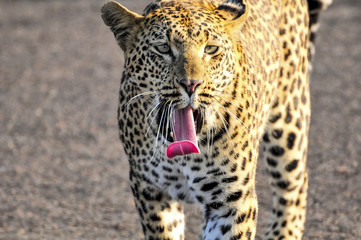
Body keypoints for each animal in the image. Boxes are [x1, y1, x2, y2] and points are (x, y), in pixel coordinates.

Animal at [100, 0, 330, 240]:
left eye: (210, 49)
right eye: (163, 48)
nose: (190, 84)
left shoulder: (233, 201)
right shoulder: (151, 191)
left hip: (289, 118)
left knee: (295, 182)